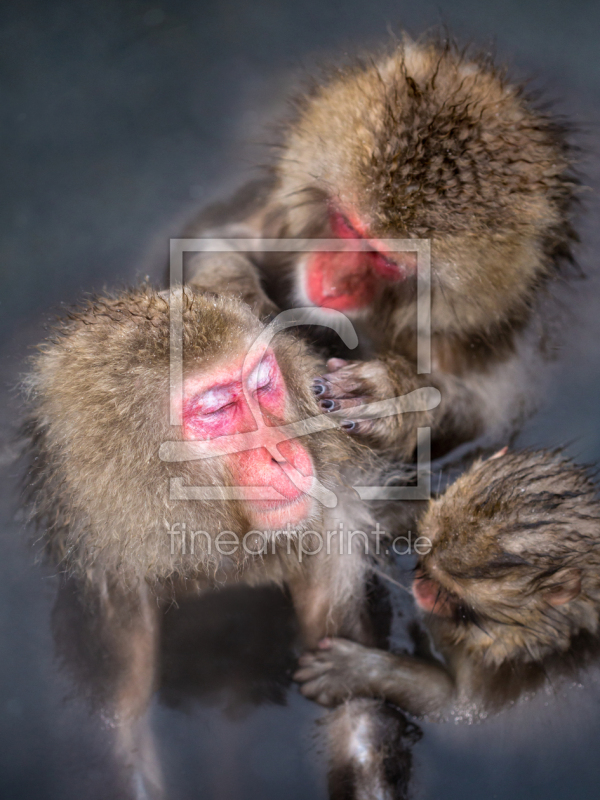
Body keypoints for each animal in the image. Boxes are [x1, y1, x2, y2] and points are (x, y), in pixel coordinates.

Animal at [185, 34, 580, 462]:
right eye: (347, 224)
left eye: (387, 260)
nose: (332, 285)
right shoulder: (283, 222)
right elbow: (214, 237)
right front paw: (236, 295)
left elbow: (480, 418)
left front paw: (397, 394)